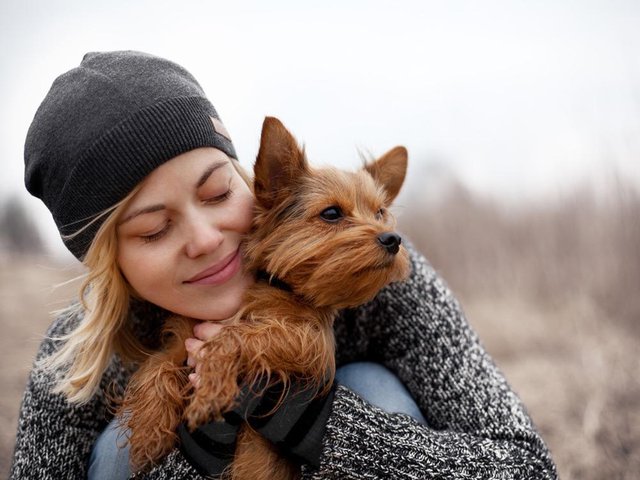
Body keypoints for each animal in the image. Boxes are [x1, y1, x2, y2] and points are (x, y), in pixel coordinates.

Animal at [120, 117, 410, 480]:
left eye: (380, 212)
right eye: (331, 213)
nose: (393, 238)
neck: (276, 287)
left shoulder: (308, 344)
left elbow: (235, 337)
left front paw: (209, 392)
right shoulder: (183, 338)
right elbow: (157, 365)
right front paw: (149, 432)